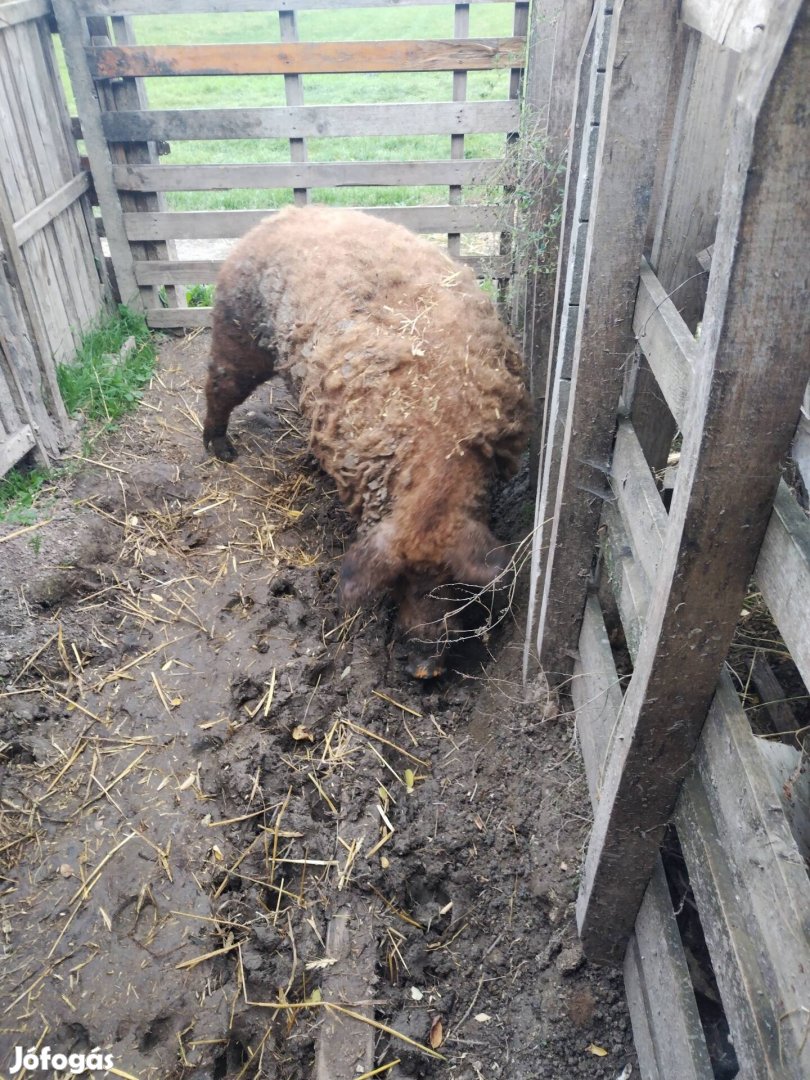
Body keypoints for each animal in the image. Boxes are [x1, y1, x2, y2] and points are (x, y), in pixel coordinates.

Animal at [203, 205, 533, 673]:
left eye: (451, 583)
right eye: (397, 583)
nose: (424, 669)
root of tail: (279, 216)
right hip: (238, 328)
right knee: (219, 385)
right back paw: (222, 451)